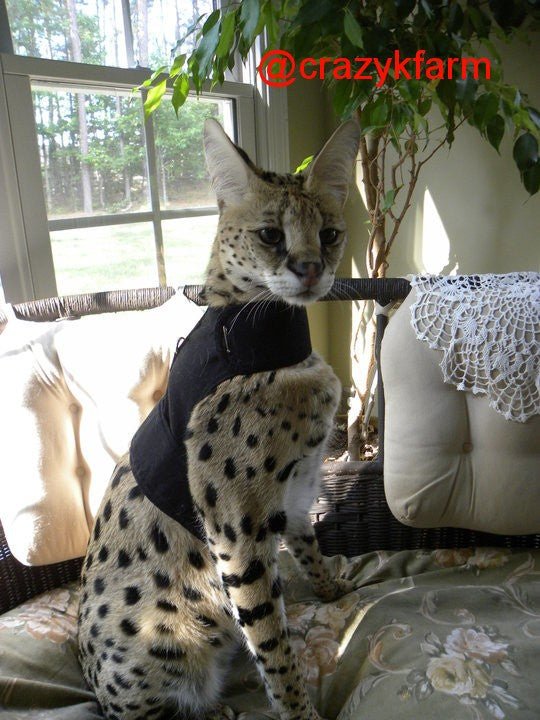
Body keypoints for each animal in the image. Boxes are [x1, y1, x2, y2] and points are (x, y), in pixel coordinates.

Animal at [77, 117, 360, 720]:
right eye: (271, 235)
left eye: (329, 234)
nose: (311, 270)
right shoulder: (237, 528)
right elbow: (271, 640)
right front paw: (300, 711)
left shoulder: (297, 492)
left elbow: (309, 548)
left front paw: (333, 589)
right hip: (159, 638)